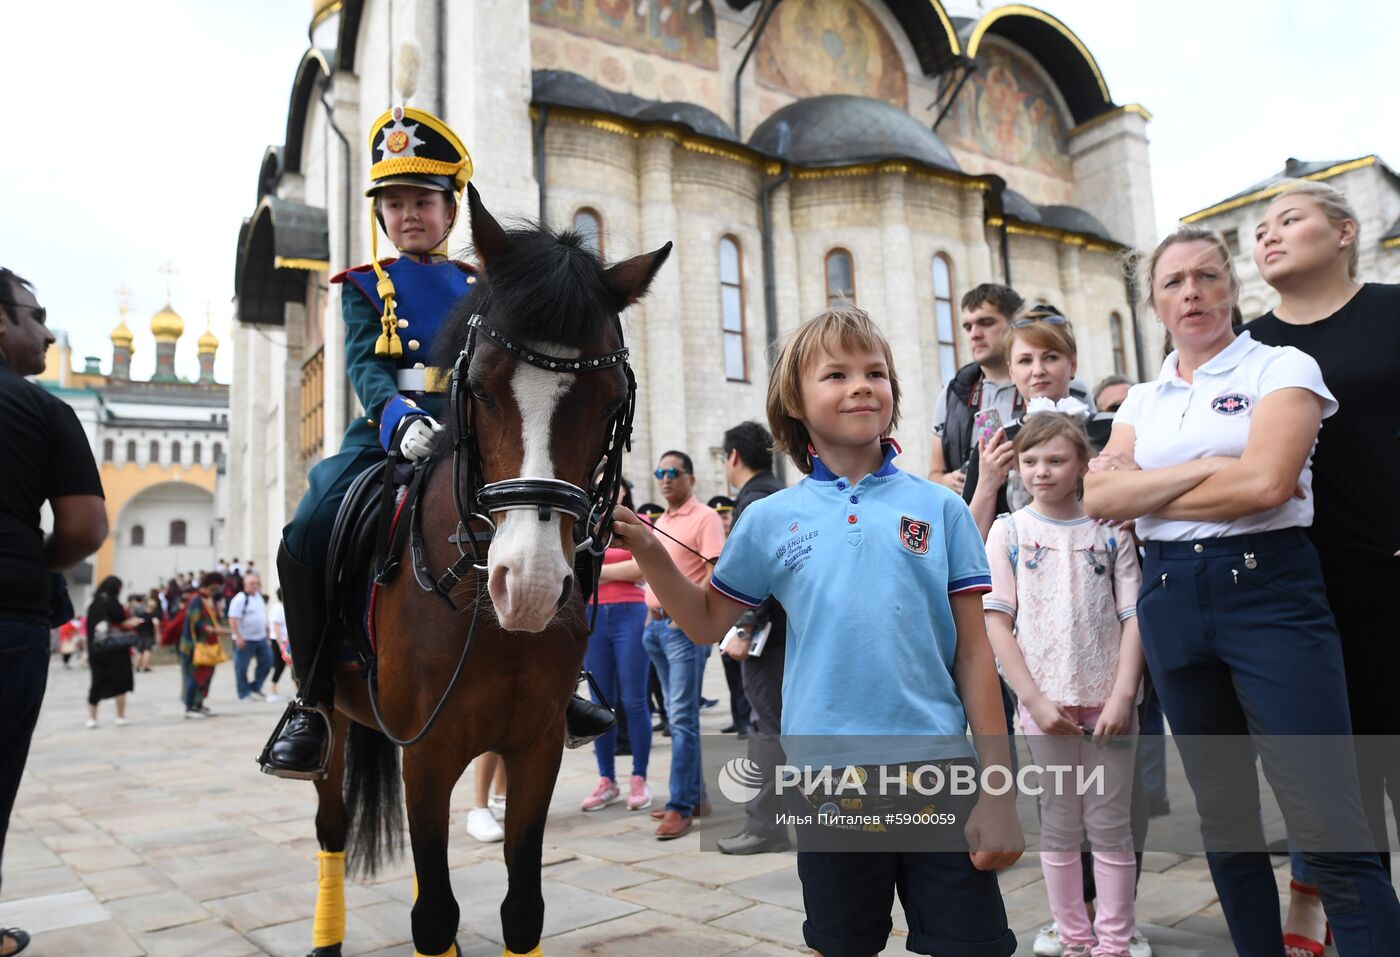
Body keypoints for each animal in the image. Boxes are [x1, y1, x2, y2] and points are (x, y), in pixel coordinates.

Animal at [312, 187, 672, 957]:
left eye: (610, 402)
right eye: (476, 387)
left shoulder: (535, 749)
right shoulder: (425, 756)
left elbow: (521, 907)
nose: (529, 585)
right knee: (330, 827)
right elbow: (434, 914)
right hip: (331, 722)